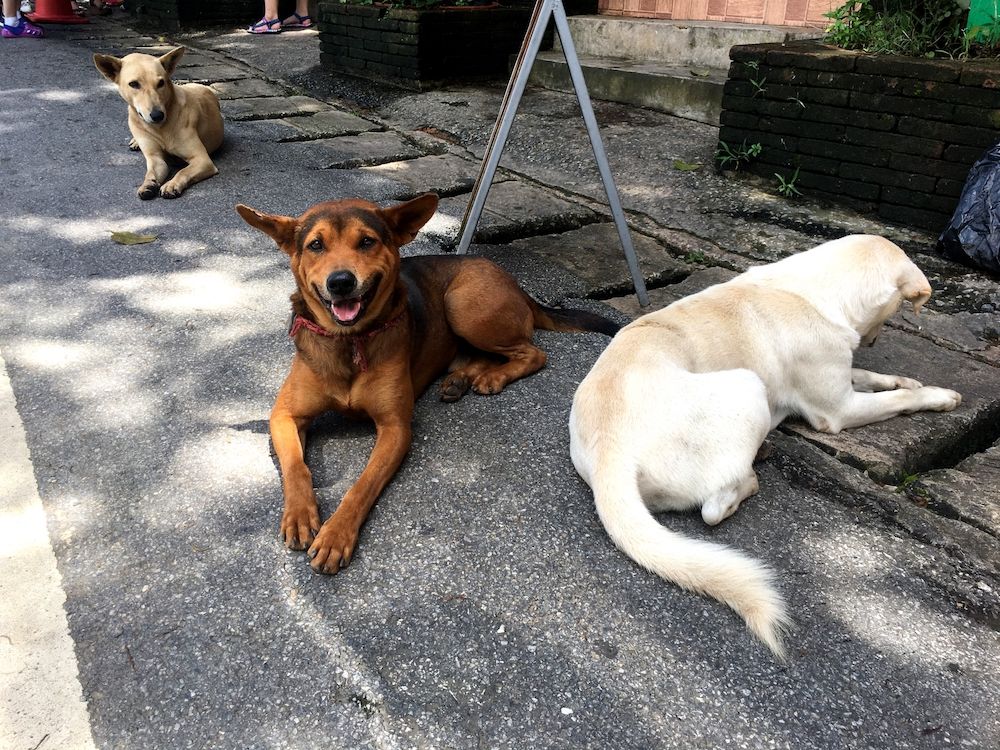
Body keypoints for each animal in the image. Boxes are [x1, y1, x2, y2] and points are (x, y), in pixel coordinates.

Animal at [93, 46, 223, 200]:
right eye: (133, 84)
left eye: (161, 83)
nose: (157, 115)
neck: (160, 129)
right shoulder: (155, 159)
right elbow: (151, 172)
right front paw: (148, 184)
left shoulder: (202, 160)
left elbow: (183, 171)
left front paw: (172, 184)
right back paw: (135, 141)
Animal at [238, 194, 620, 576]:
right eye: (315, 245)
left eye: (367, 242)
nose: (341, 282)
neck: (349, 341)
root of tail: (513, 281)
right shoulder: (284, 416)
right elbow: (296, 467)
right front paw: (300, 515)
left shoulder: (395, 428)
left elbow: (361, 486)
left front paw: (336, 534)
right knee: (482, 356)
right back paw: (461, 380)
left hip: (463, 306)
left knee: (534, 353)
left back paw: (492, 377)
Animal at [568, 235, 964, 656]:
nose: (873, 339)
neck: (816, 289)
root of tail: (609, 452)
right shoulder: (838, 410)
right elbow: (897, 400)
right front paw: (938, 397)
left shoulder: (844, 378)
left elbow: (871, 375)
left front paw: (906, 380)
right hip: (748, 386)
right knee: (714, 507)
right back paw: (753, 473)